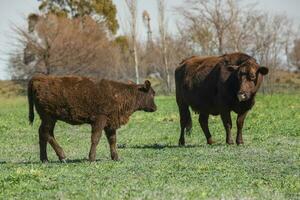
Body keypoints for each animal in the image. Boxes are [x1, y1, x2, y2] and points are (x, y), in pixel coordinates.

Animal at [28, 74, 157, 162]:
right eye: (152, 93)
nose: (155, 108)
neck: (119, 94)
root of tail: (39, 78)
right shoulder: (99, 120)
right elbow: (96, 138)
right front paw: (92, 158)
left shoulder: (110, 123)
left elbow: (112, 140)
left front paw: (115, 157)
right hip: (49, 118)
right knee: (45, 133)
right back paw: (62, 156)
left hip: (50, 119)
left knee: (44, 134)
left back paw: (45, 159)